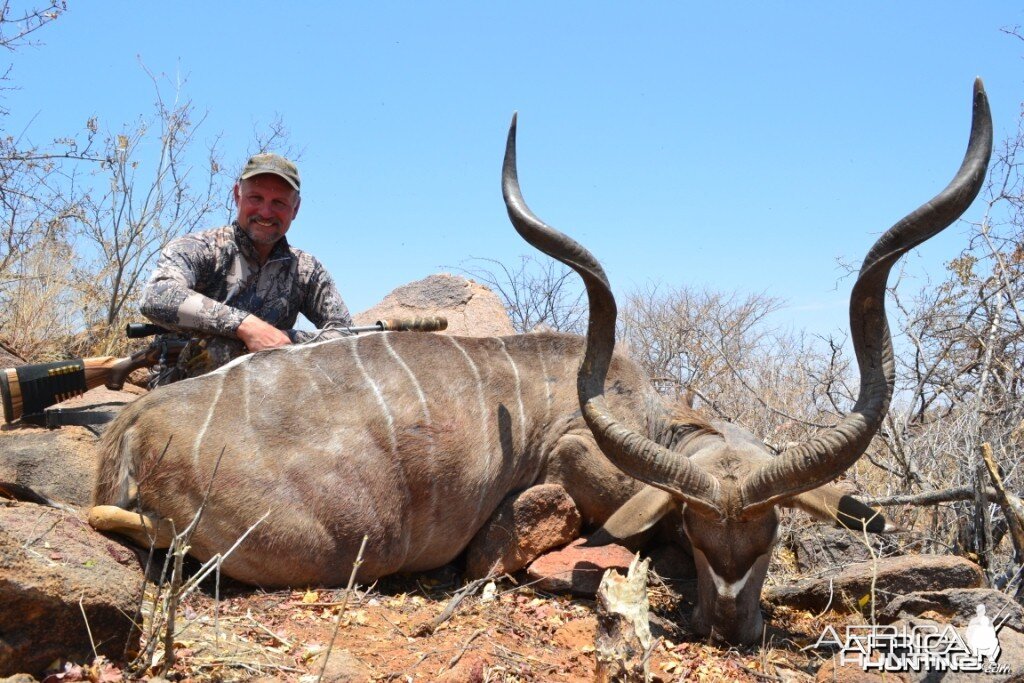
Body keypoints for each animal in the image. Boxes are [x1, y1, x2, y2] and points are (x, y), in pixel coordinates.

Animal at [94, 81, 991, 647]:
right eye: (698, 533)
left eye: (768, 534)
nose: (732, 628)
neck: (651, 410)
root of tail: (134, 424)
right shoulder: (577, 461)